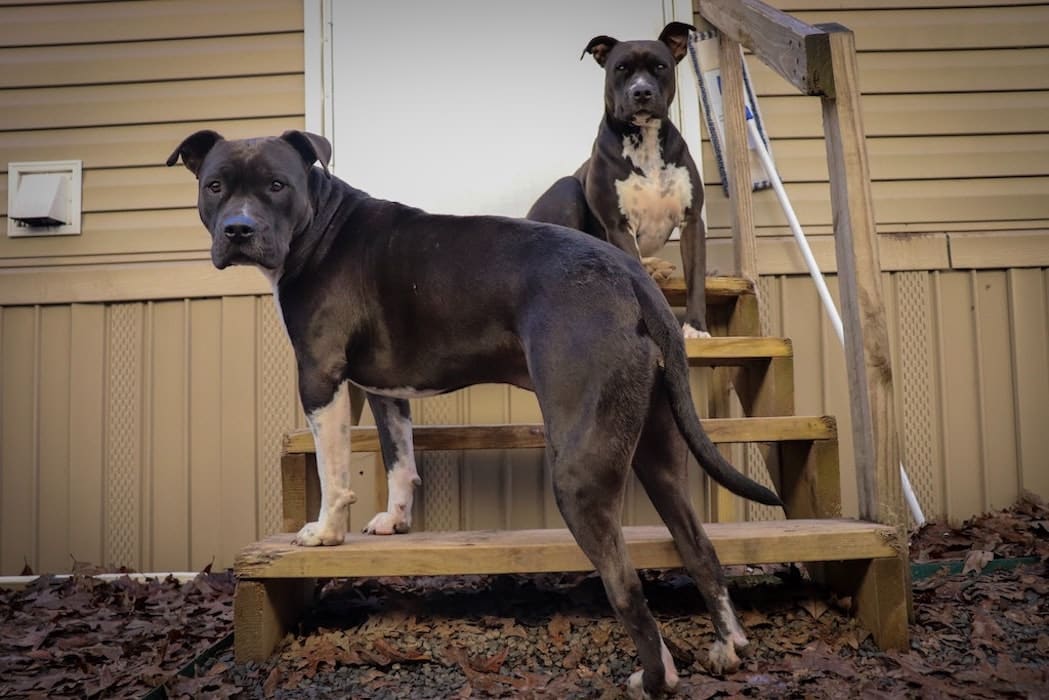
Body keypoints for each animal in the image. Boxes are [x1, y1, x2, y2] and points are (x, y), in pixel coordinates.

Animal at [167, 128, 780, 696]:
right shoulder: (386, 387)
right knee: (698, 545)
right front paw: (395, 521)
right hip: (655, 449)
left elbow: (333, 467)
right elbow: (399, 458)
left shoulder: (321, 374)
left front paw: (325, 532)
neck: (319, 223)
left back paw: (654, 679)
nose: (238, 230)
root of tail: (633, 277)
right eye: (215, 185)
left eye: (277, 185)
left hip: (579, 471)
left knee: (627, 588)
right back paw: (727, 646)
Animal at [528, 21, 709, 340]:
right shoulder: (619, 226)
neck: (644, 140)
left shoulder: (692, 220)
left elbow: (696, 278)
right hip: (566, 189)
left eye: (660, 66)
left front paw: (696, 328)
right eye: (621, 68)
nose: (641, 91)